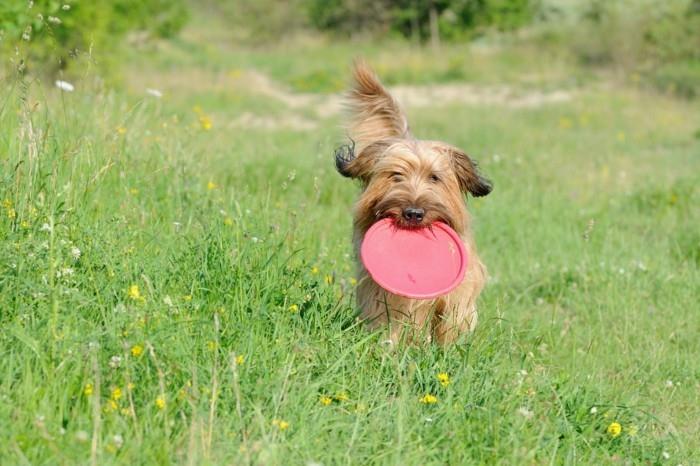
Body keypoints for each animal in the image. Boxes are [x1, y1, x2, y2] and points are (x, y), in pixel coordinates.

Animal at [334, 61, 492, 346]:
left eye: (434, 177)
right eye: (396, 175)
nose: (413, 213)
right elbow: (390, 316)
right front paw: (391, 345)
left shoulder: (462, 282)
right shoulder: (379, 288)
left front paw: (447, 347)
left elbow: (453, 314)